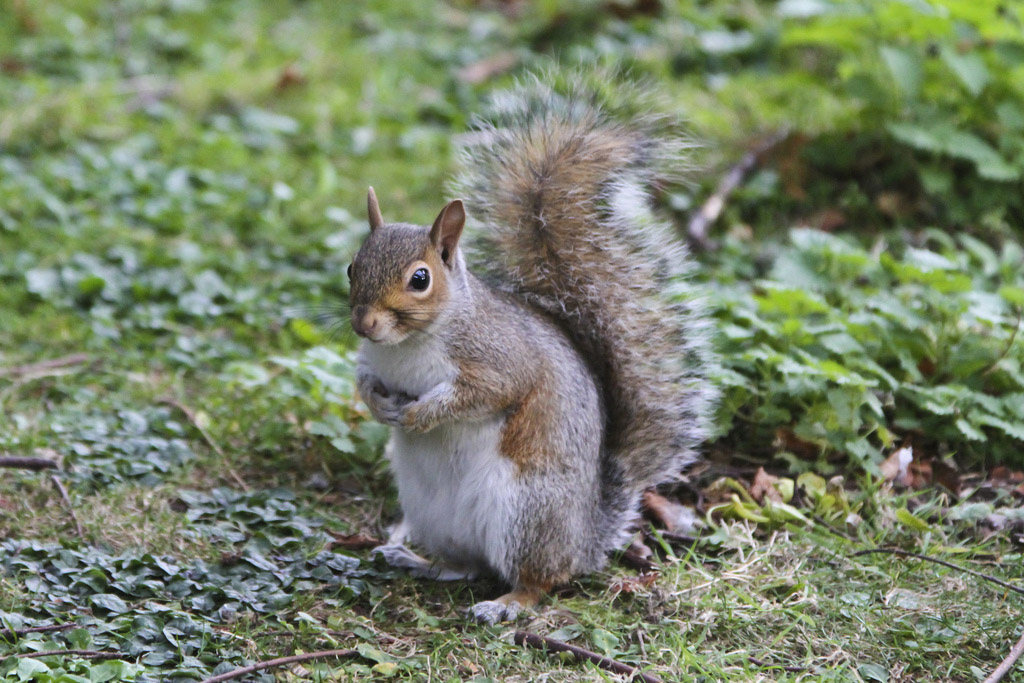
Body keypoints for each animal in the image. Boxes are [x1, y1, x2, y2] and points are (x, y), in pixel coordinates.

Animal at [348, 75, 717, 624]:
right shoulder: (372, 360)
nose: (365, 323)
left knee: (538, 579)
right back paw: (418, 561)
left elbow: (483, 394)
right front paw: (381, 406)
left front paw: (420, 414)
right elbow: (365, 383)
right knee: (469, 565)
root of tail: (585, 539)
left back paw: (505, 604)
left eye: (420, 279)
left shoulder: (500, 360)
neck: (406, 345)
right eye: (353, 267)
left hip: (526, 511)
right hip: (435, 515)